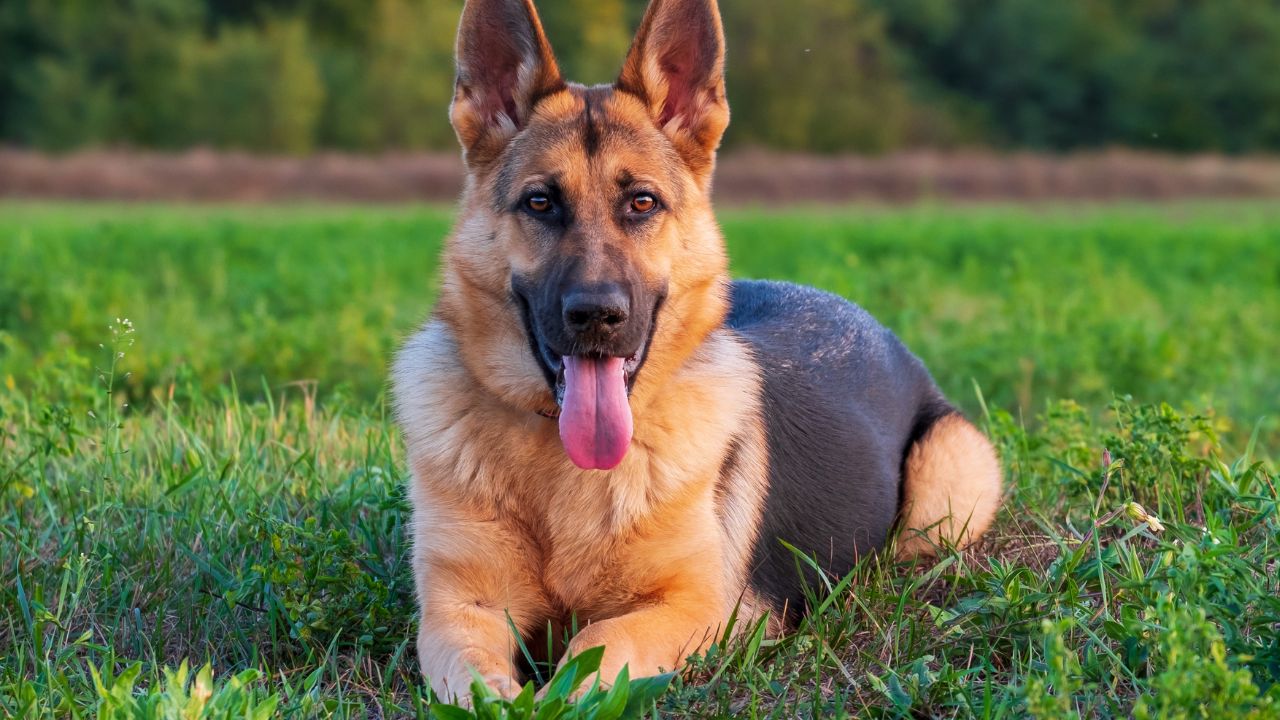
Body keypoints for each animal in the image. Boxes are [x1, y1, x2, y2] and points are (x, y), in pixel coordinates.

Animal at [389, 0, 998, 696]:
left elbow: (596, 644)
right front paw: (517, 702)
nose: (596, 315)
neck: (559, 467)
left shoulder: (699, 610)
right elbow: (480, 686)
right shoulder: (458, 610)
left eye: (642, 202)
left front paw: (555, 696)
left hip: (944, 493)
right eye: (540, 202)